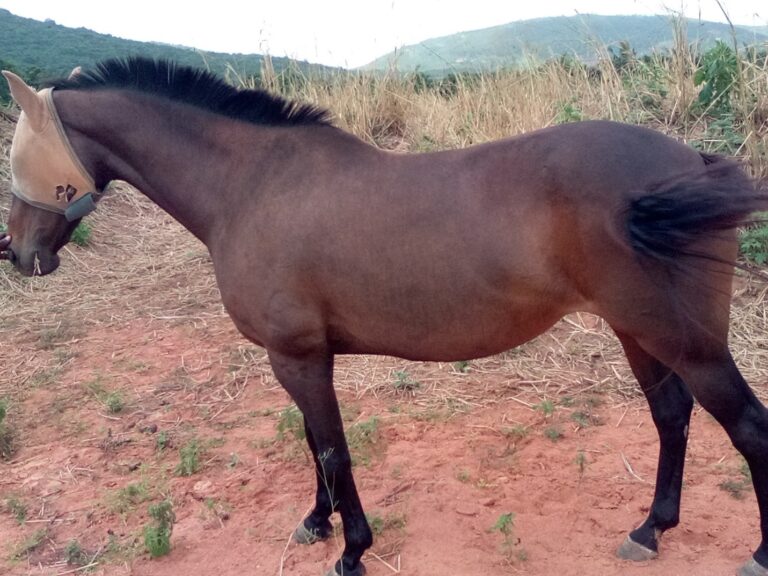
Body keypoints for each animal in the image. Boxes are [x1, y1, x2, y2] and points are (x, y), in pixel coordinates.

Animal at [1, 57, 767, 576]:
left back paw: (754, 550)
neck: (251, 186)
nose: (19, 252)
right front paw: (317, 522)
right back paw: (650, 530)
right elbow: (313, 441)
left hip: (683, 339)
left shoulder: (298, 355)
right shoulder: (301, 356)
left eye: (18, 162)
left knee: (748, 428)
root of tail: (692, 162)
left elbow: (333, 449)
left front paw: (353, 549)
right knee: (672, 416)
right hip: (639, 332)